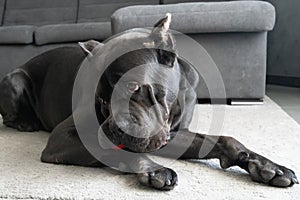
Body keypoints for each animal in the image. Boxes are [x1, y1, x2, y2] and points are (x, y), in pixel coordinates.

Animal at [0, 14, 298, 191]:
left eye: (132, 87)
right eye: (101, 100)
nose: (112, 129)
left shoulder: (172, 134)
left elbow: (225, 140)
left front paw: (269, 166)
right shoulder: (63, 138)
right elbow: (118, 151)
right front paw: (154, 169)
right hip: (14, 79)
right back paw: (26, 123)